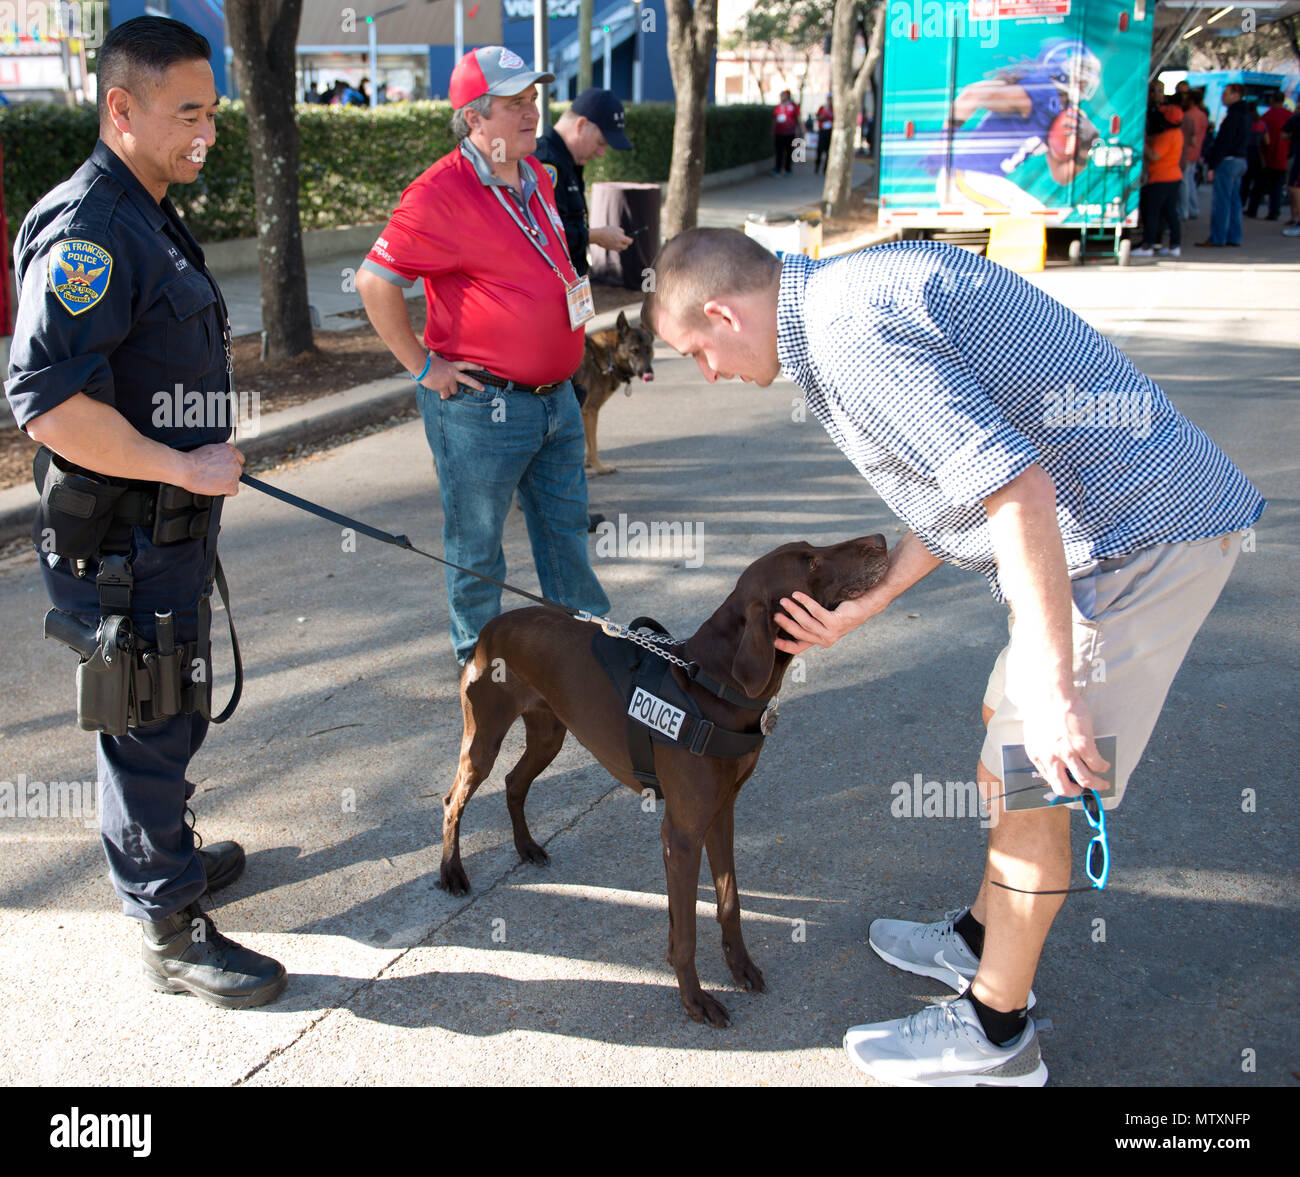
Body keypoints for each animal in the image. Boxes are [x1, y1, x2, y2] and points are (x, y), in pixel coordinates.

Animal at [441, 538, 889, 1024]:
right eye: (810, 562)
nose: (881, 541)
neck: (713, 685)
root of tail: (490, 627)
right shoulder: (683, 834)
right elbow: (687, 932)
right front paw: (695, 1000)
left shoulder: (721, 812)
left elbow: (729, 901)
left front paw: (740, 966)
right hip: (483, 737)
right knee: (454, 800)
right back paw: (452, 872)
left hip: (549, 734)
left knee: (513, 782)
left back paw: (526, 847)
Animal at [574, 314, 655, 481]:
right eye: (634, 351)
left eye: (648, 350)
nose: (648, 373)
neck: (608, 356)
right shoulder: (590, 412)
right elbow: (593, 445)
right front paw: (600, 468)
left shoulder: (583, 413)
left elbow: (587, 445)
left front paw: (586, 464)